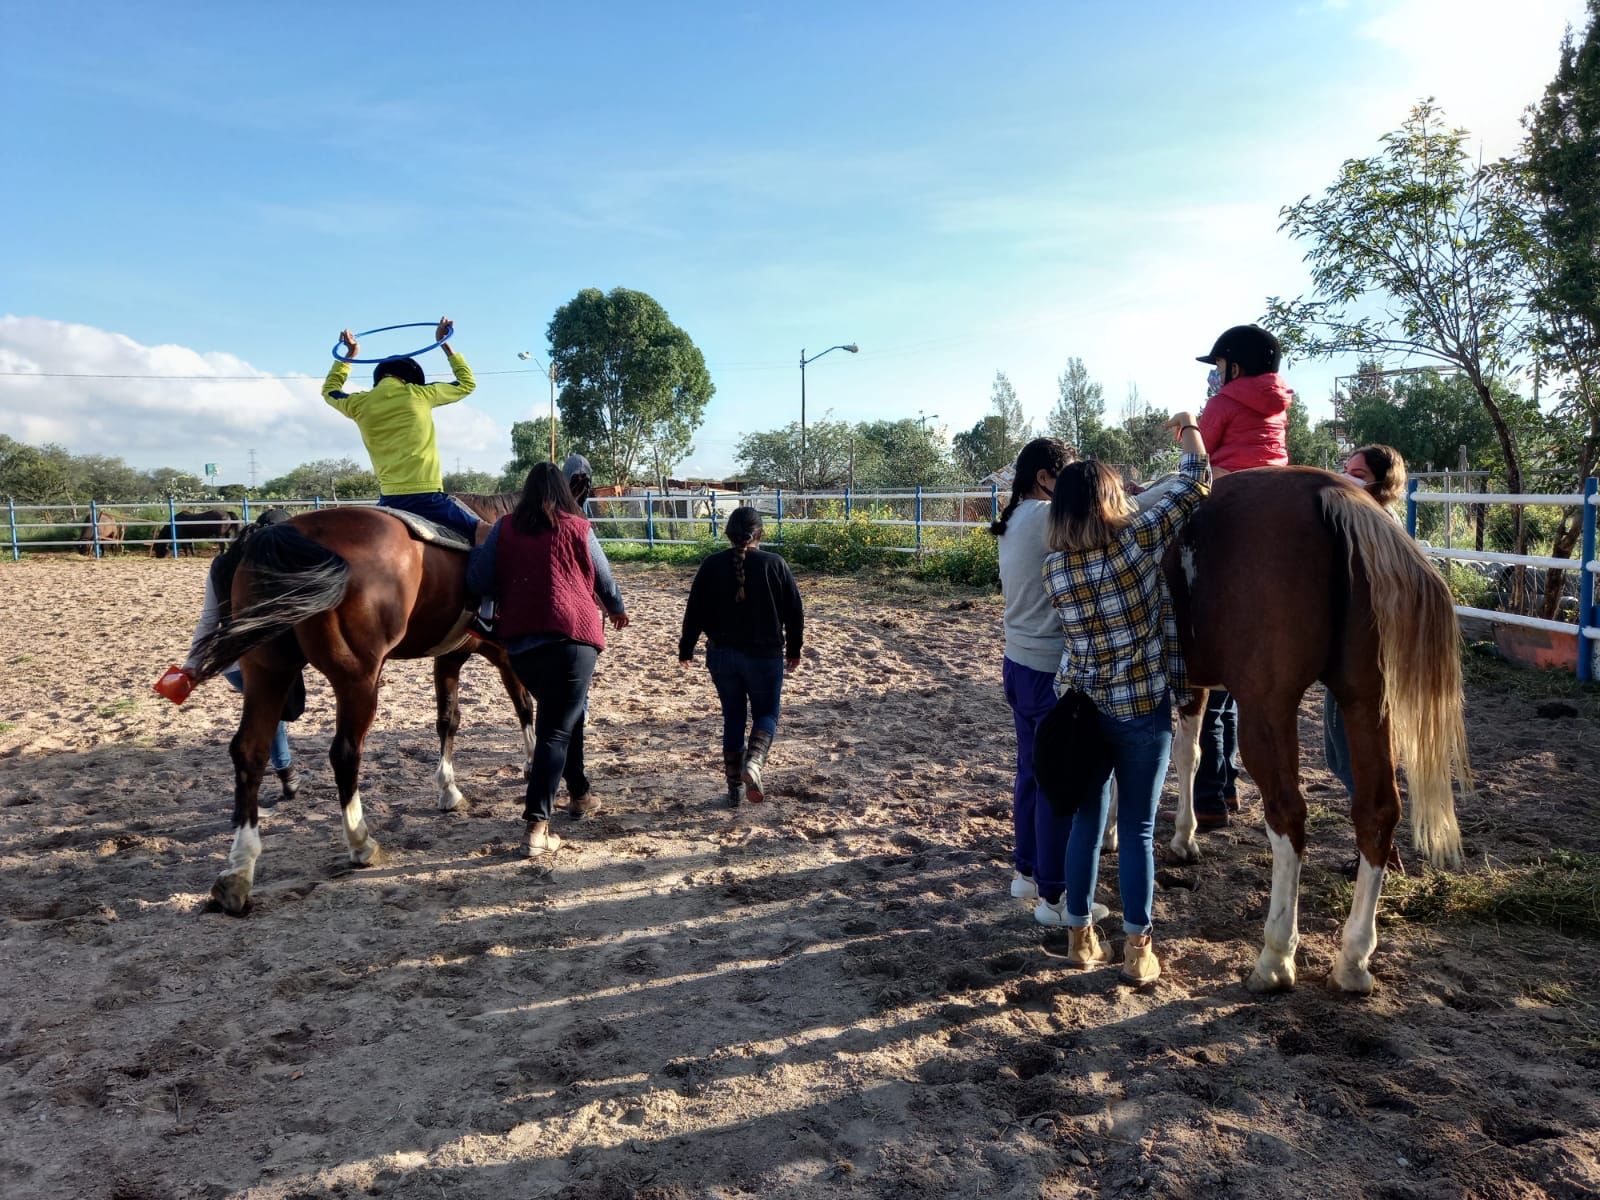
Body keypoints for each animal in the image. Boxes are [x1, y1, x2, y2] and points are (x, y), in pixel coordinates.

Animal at [188, 492, 524, 915]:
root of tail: (288, 532)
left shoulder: (449, 657)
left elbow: (448, 719)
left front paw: (449, 791)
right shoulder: (504, 653)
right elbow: (524, 705)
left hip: (267, 671)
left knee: (251, 751)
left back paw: (237, 873)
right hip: (358, 680)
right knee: (345, 753)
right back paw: (361, 843)